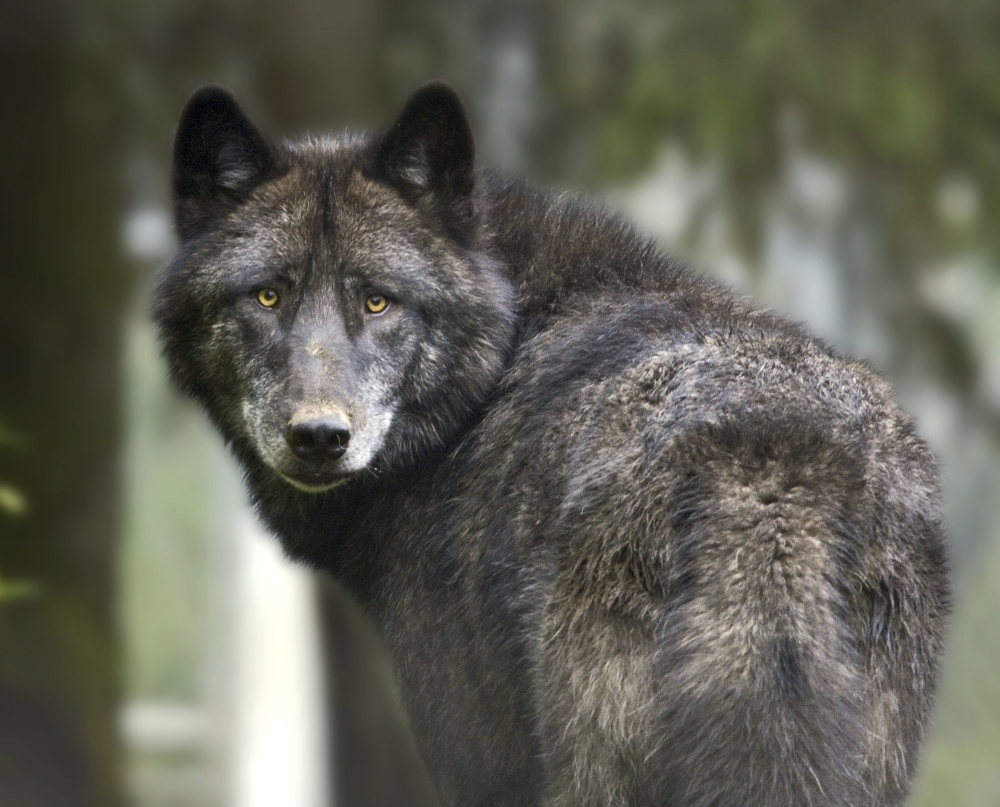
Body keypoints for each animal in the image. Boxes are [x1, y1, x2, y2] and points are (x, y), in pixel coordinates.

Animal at [155, 82, 949, 806]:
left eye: (378, 301)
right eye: (267, 296)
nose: (320, 437)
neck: (502, 351)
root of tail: (768, 473)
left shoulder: (472, 754)